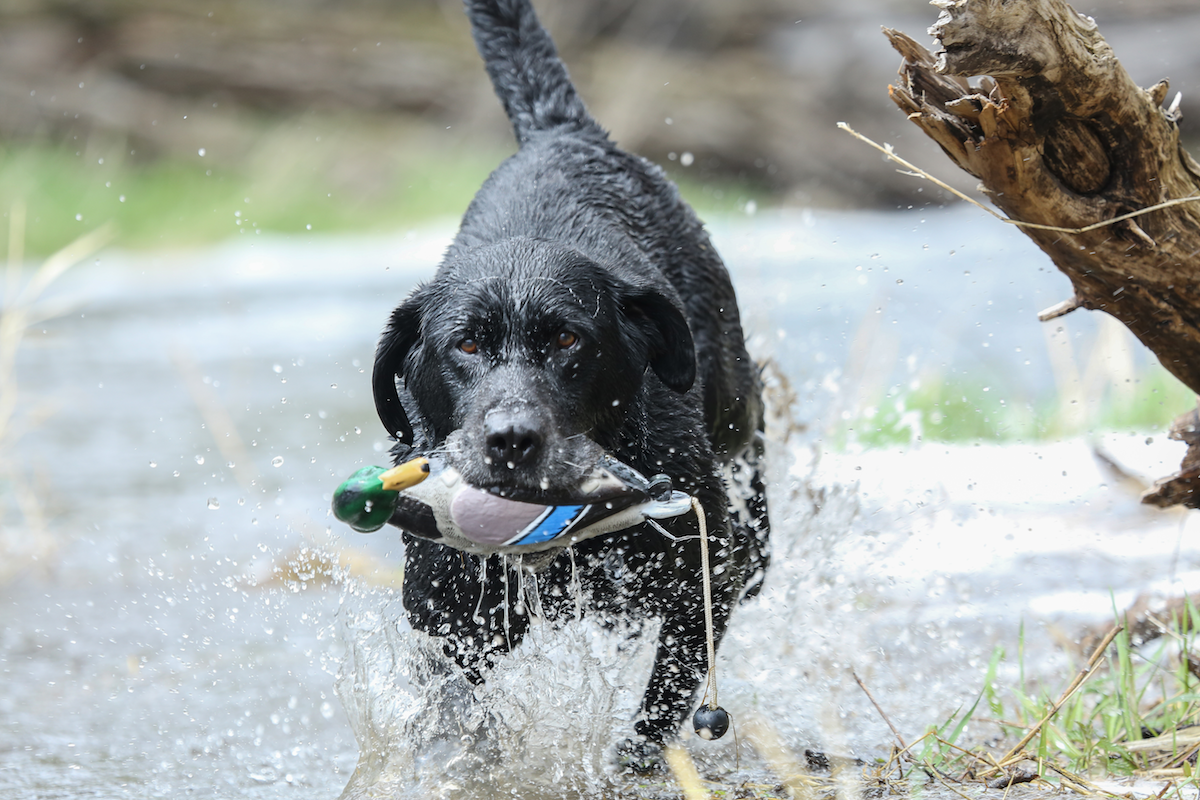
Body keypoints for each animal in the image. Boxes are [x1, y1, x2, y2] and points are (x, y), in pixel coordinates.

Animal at [369, 0, 772, 762]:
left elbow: (663, 701)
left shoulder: (694, 575)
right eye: (466, 343)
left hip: (730, 394)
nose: (511, 439)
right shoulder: (453, 611)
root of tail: (560, 129)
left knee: (753, 450)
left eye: (566, 339)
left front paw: (632, 762)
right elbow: (457, 707)